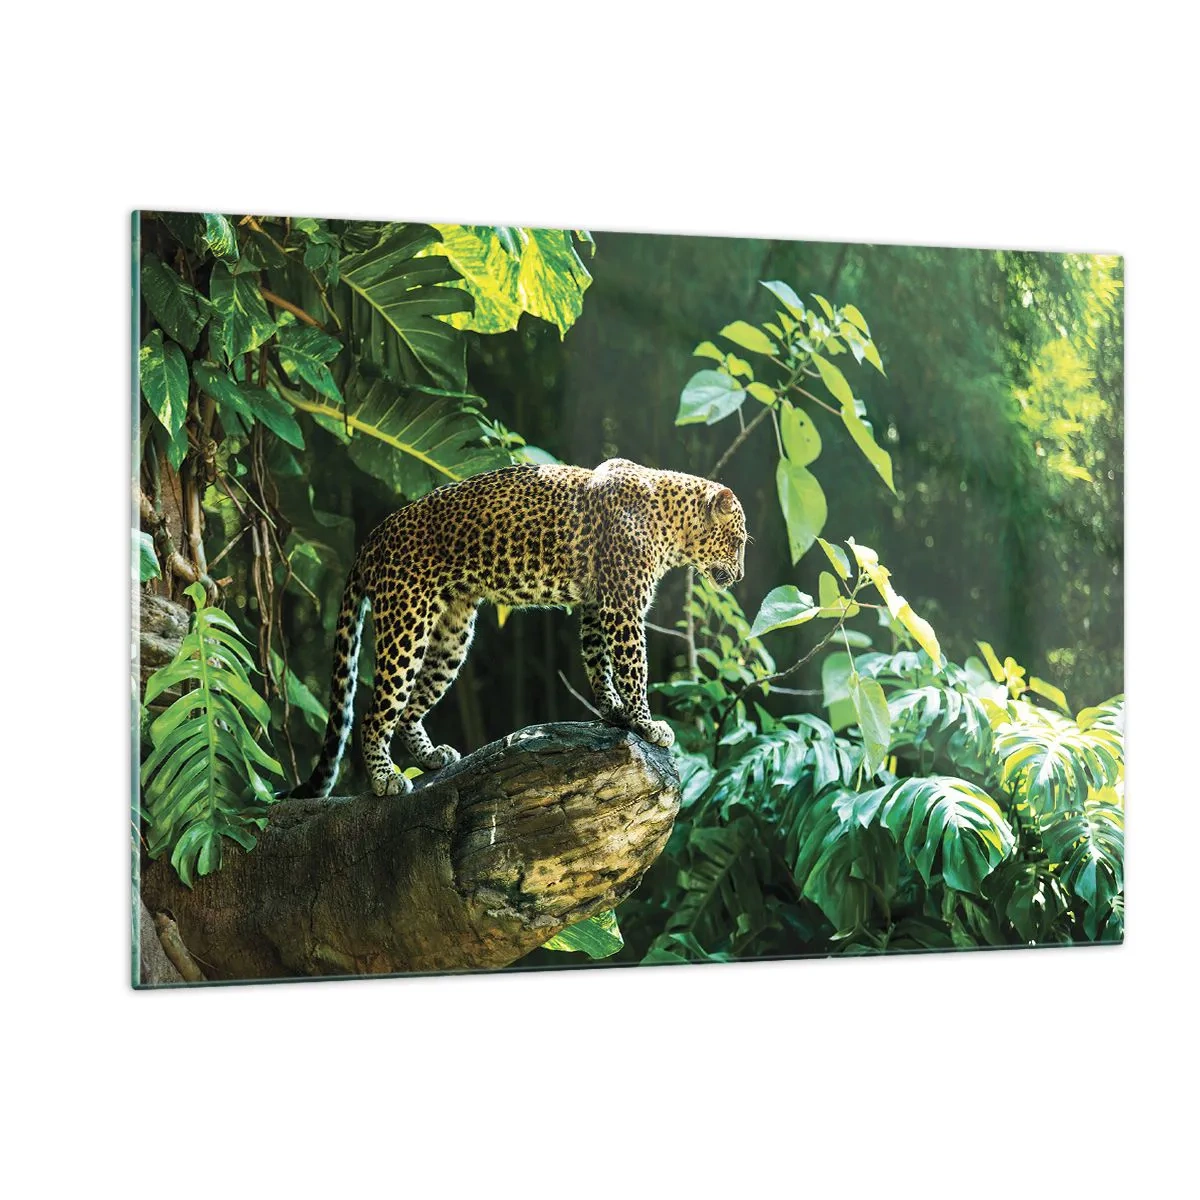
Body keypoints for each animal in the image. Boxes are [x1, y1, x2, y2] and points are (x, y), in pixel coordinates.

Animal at [292, 457, 748, 798]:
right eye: (739, 541)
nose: (742, 576)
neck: (672, 522)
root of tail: (371, 539)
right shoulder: (623, 607)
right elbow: (634, 667)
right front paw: (647, 724)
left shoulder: (596, 604)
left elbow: (598, 660)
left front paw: (614, 712)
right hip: (406, 621)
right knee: (375, 712)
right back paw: (385, 779)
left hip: (452, 634)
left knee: (409, 708)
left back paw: (431, 757)